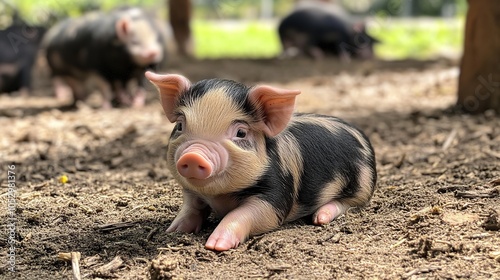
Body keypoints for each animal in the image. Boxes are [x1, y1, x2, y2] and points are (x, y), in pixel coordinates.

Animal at [146, 71, 376, 252]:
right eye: (180, 126)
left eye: (240, 132)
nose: (193, 156)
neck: (219, 196)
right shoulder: (192, 192)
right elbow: (191, 208)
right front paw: (173, 230)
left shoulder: (277, 191)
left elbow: (246, 213)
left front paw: (216, 245)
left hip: (363, 183)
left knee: (351, 203)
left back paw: (320, 218)